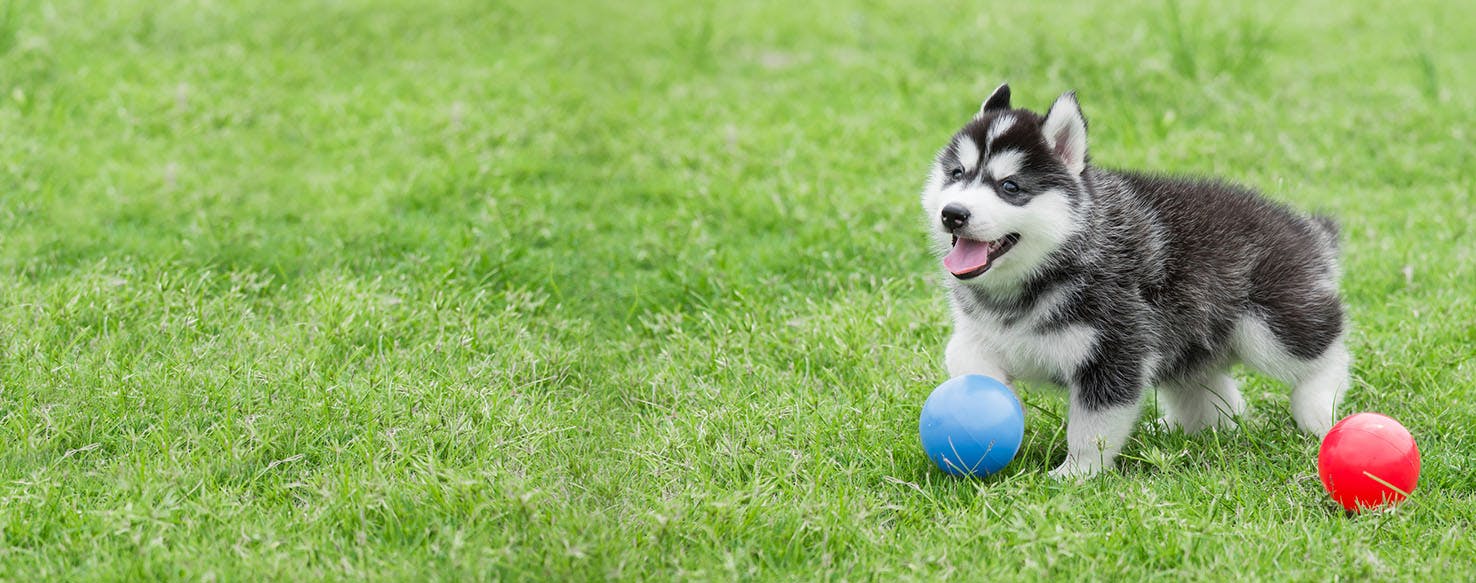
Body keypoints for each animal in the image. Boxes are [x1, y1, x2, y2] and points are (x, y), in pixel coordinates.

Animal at [921, 85, 1352, 478]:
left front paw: (1075, 475)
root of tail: (1304, 227)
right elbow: (965, 359)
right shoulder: (979, 332)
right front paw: (993, 402)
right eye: (957, 174)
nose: (953, 213)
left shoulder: (1115, 350)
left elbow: (1093, 428)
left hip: (1267, 326)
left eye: (1009, 186)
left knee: (1323, 350)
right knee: (1215, 397)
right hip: (1189, 342)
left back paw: (1317, 407)